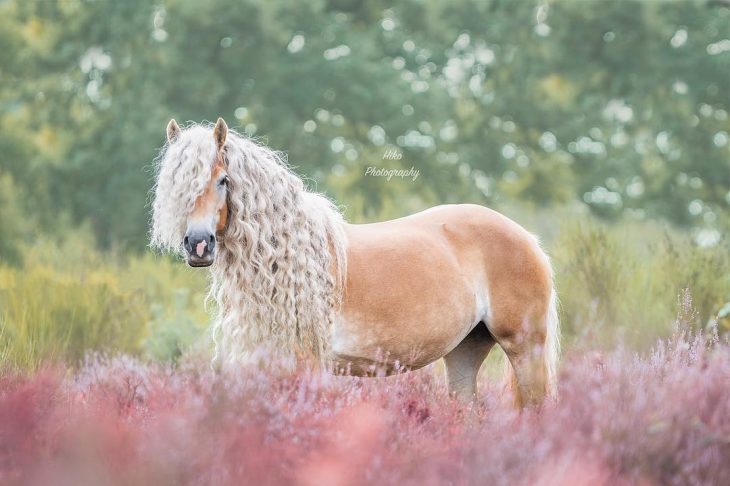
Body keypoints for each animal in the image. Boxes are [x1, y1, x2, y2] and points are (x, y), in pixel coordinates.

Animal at [148, 117, 556, 406]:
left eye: (222, 181)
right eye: (174, 187)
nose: (198, 244)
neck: (289, 260)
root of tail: (528, 239)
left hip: (525, 349)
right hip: (464, 353)